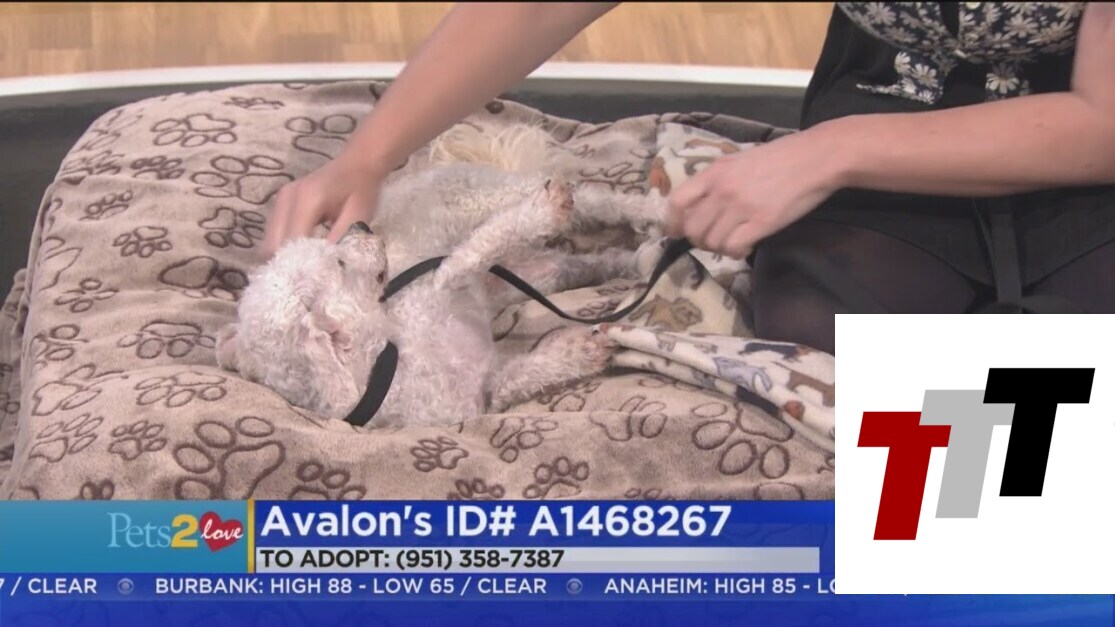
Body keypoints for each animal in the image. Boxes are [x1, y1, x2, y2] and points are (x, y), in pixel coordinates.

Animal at [215, 124, 667, 427]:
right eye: (339, 264)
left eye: (326, 248)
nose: (361, 227)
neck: (388, 358)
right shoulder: (485, 393)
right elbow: (521, 376)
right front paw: (581, 352)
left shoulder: (441, 280)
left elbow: (474, 252)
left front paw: (542, 213)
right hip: (535, 274)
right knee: (583, 263)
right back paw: (638, 261)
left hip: (490, 195)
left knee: (599, 203)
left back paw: (657, 215)